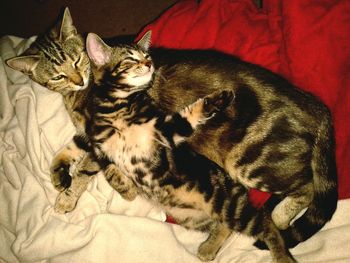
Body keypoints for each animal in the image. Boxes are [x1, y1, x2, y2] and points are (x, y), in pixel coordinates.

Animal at [5, 6, 338, 252]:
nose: (77, 80)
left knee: (308, 187)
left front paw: (69, 195)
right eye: (57, 76)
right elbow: (67, 153)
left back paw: (280, 216)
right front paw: (63, 177)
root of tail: (315, 104)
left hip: (250, 162)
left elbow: (87, 168)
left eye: (77, 61)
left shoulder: (103, 135)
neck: (80, 95)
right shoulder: (90, 134)